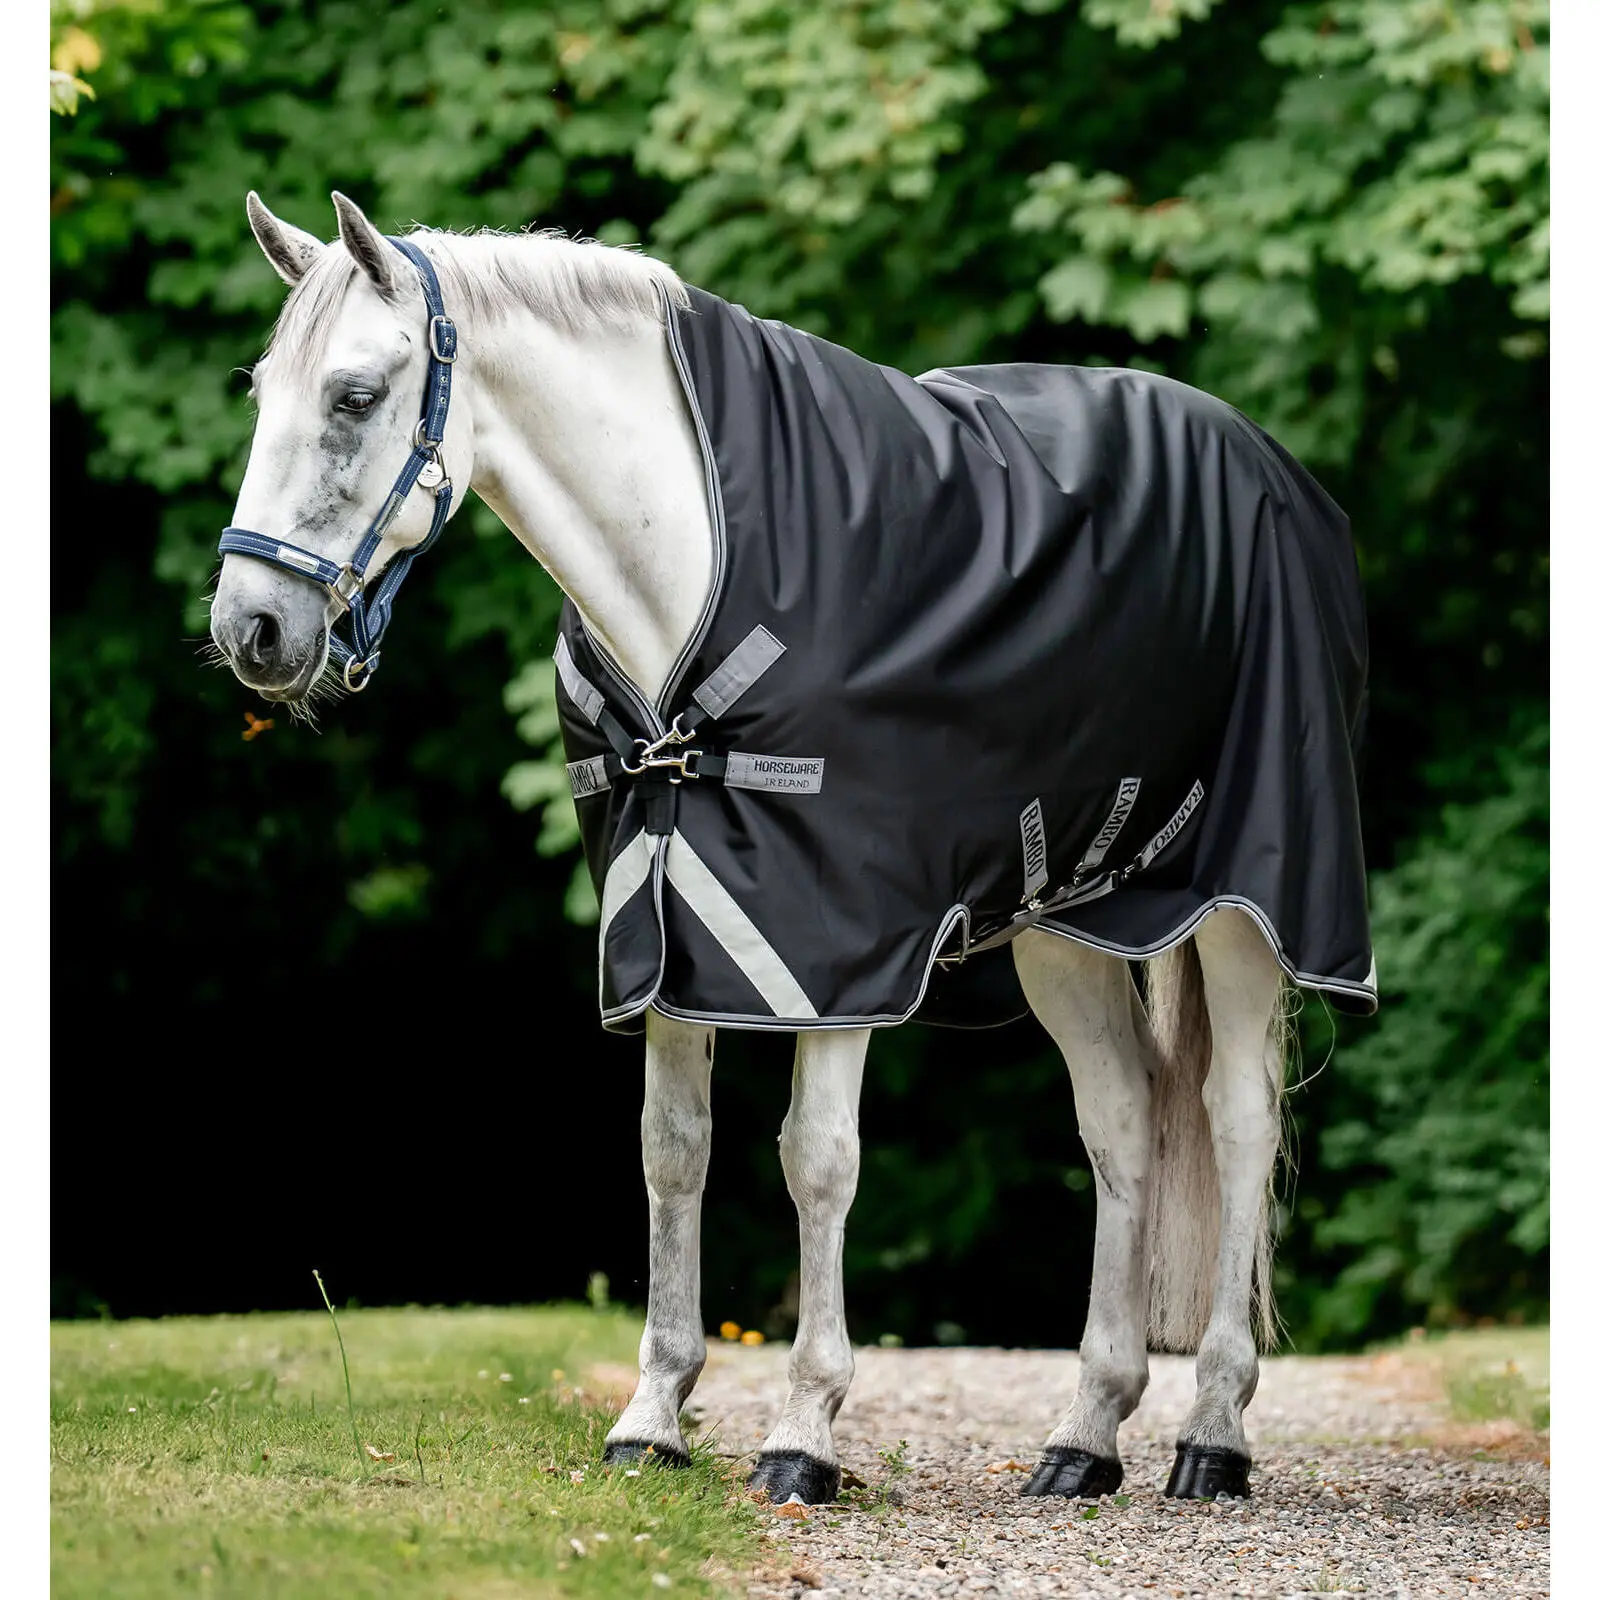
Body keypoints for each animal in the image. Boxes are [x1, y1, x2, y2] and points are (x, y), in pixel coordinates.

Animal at [209, 192, 1374, 1505]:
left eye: (355, 395)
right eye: (262, 391)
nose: (251, 629)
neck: (690, 559)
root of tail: (1268, 465)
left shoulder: (841, 944)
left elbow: (816, 1159)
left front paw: (804, 1431)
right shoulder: (662, 921)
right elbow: (673, 1151)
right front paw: (652, 1416)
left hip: (1245, 906)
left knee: (1236, 1120)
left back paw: (1212, 1433)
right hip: (1064, 923)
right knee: (1121, 1125)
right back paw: (1083, 1435)